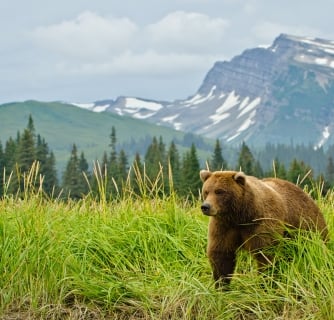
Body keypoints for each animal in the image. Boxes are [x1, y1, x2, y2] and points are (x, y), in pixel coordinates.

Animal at [200, 170, 328, 288]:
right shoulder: (224, 226)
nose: (205, 206)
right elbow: (221, 254)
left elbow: (266, 254)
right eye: (206, 191)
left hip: (307, 227)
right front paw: (221, 285)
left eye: (219, 191)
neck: (241, 216)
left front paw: (265, 283)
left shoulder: (262, 224)